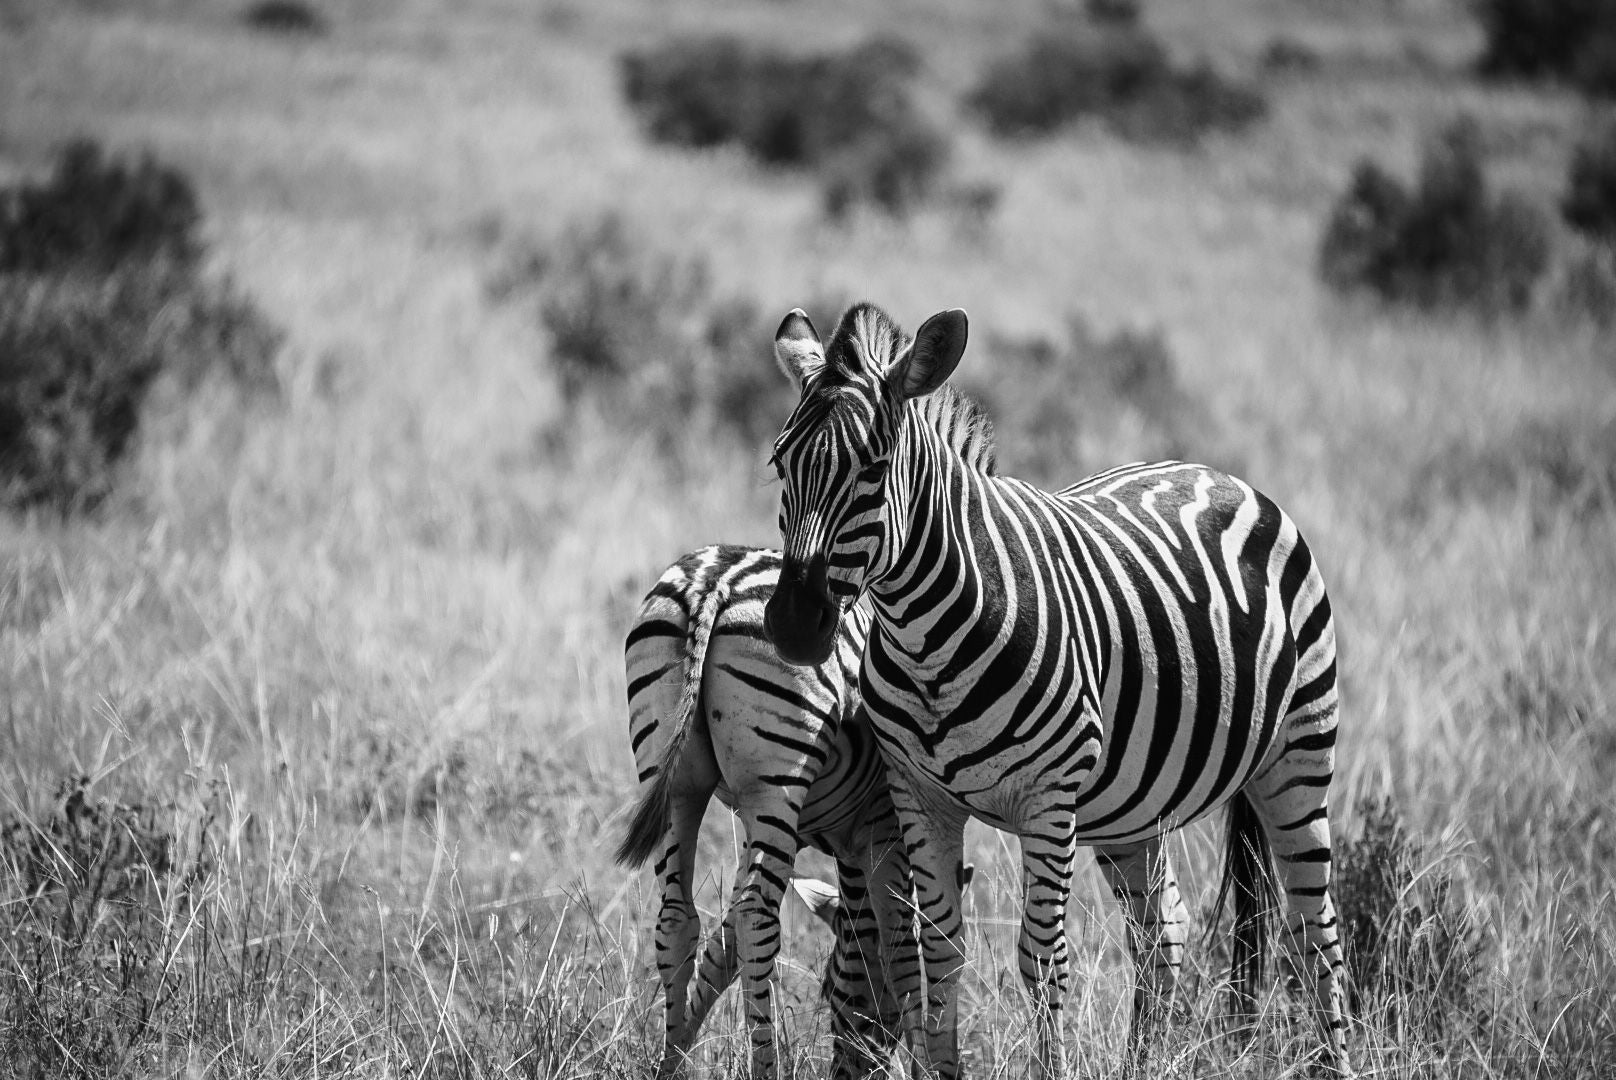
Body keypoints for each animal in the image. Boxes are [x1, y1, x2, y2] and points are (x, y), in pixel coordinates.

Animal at [617, 549, 924, 1080]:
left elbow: (721, 952)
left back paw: (671, 1061)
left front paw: (679, 1045)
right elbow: (902, 946)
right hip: (775, 783)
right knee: (756, 916)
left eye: (827, 988)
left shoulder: (768, 832)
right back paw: (766, 1065)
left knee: (679, 918)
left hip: (677, 779)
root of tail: (714, 579)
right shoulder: (885, 826)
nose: (851, 1070)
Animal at [762, 299, 1344, 1073]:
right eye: (779, 463)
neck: (926, 638)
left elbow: (1043, 962)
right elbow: (937, 955)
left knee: (1317, 937)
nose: (794, 626)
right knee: (1164, 931)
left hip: (1299, 757)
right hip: (1135, 809)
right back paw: (1141, 1065)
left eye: (874, 469)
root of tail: (1222, 475)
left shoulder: (1049, 800)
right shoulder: (918, 795)